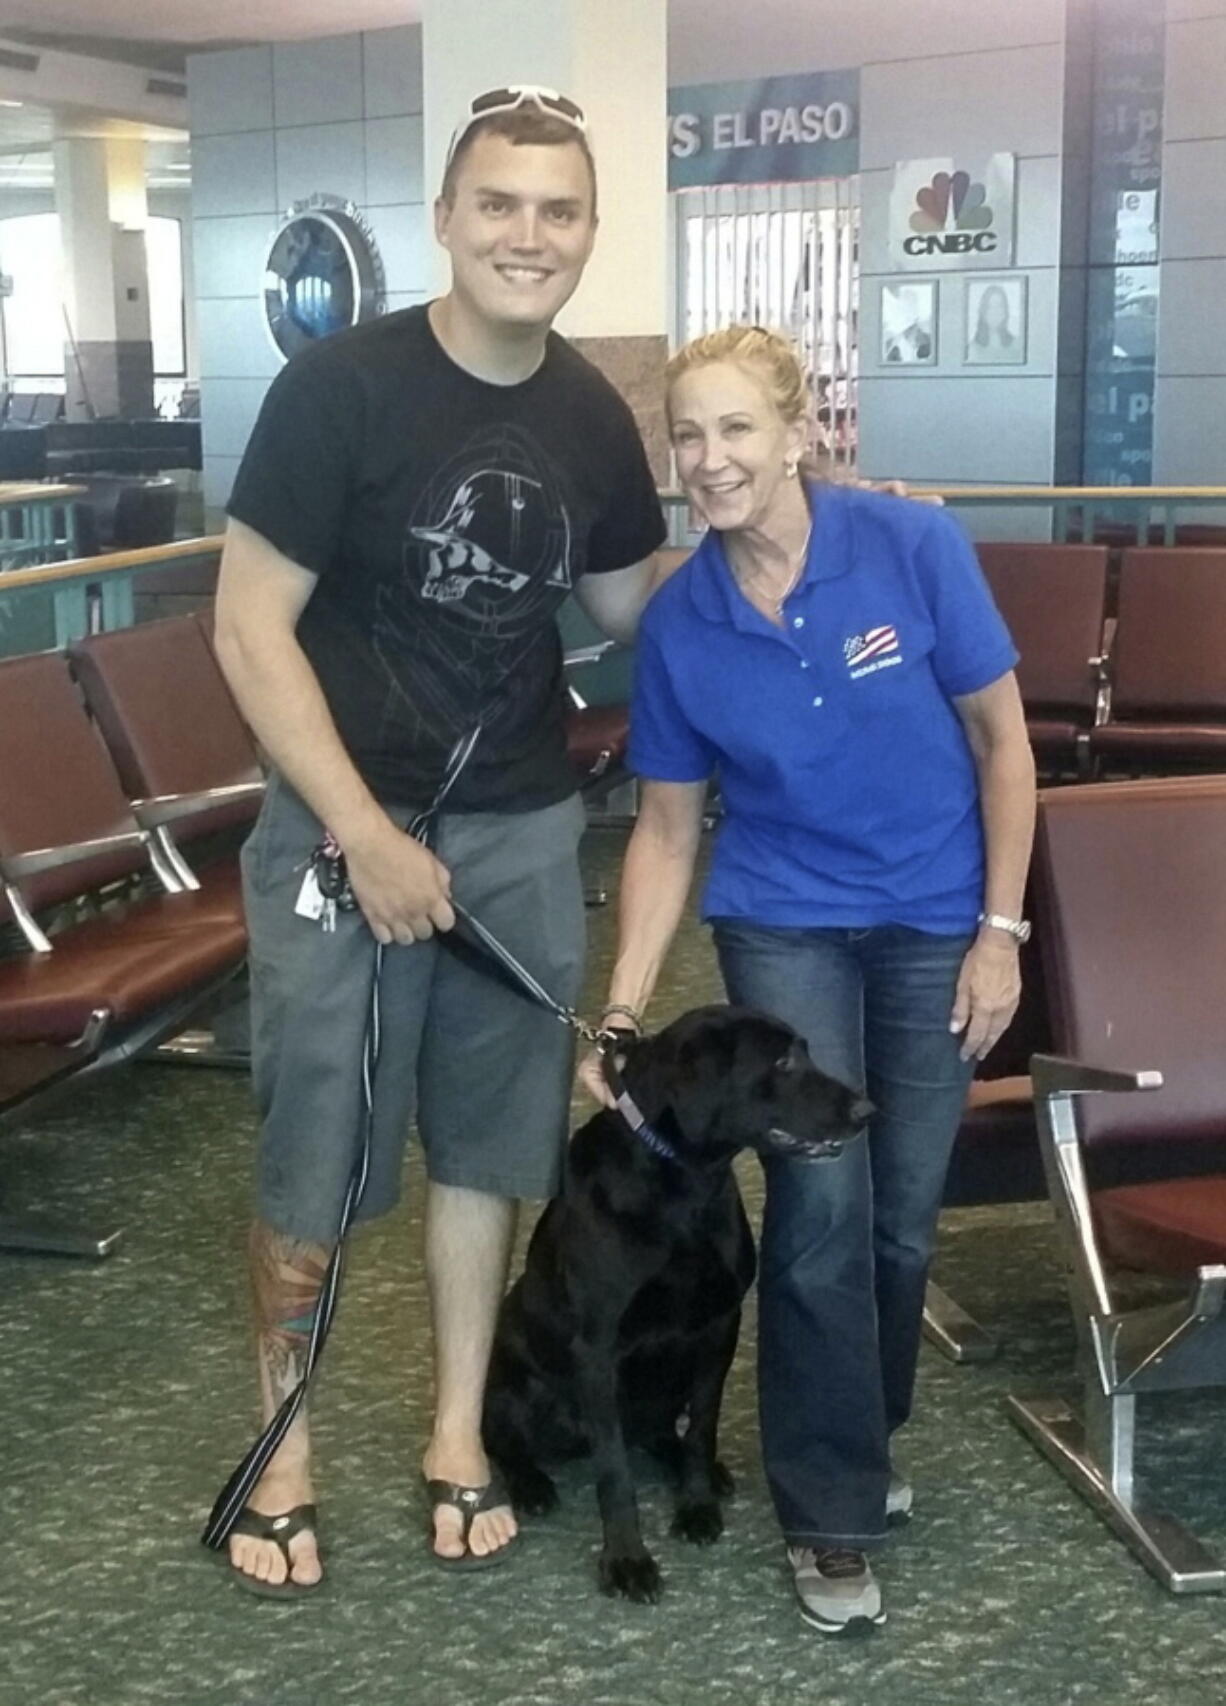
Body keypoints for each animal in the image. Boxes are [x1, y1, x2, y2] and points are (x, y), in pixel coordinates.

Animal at [480, 996, 873, 1596]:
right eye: (782, 1063)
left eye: (804, 1053)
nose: (867, 1109)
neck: (682, 1183)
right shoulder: (597, 1351)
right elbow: (614, 1473)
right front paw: (626, 1559)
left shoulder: (718, 1325)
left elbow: (702, 1428)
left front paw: (696, 1503)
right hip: (515, 1379)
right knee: (506, 1439)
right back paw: (531, 1485)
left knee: (661, 1433)